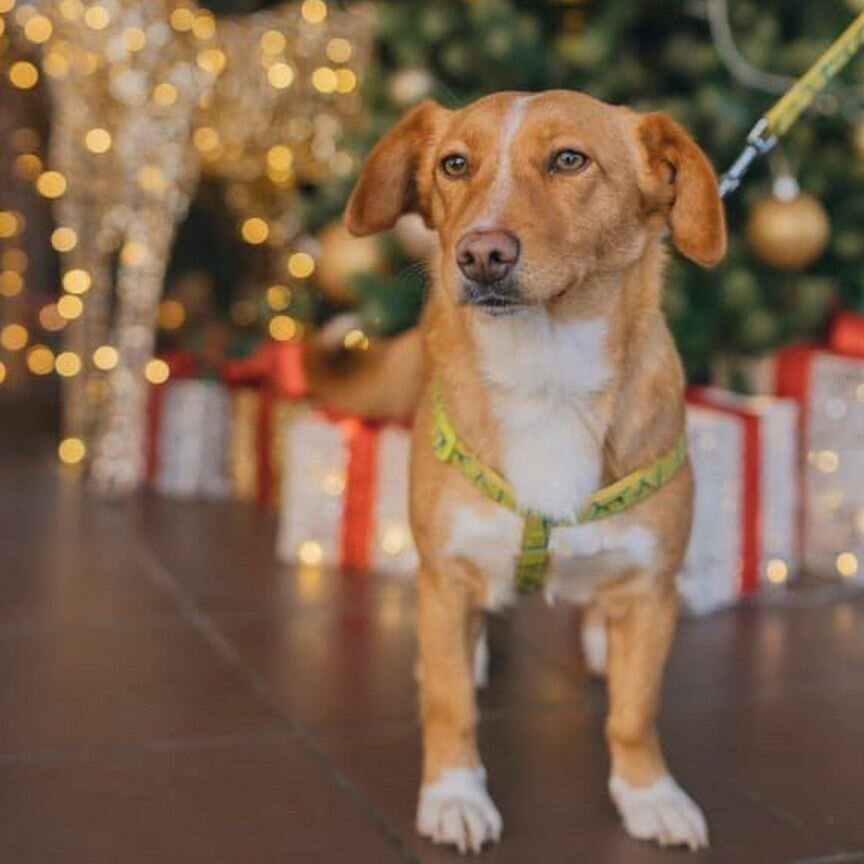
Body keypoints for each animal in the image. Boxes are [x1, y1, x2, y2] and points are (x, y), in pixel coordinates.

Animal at [316, 91, 724, 852]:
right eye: (454, 164)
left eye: (569, 160)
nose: (480, 253)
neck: (547, 375)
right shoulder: (448, 573)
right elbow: (450, 703)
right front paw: (454, 793)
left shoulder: (653, 586)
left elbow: (634, 712)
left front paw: (648, 794)